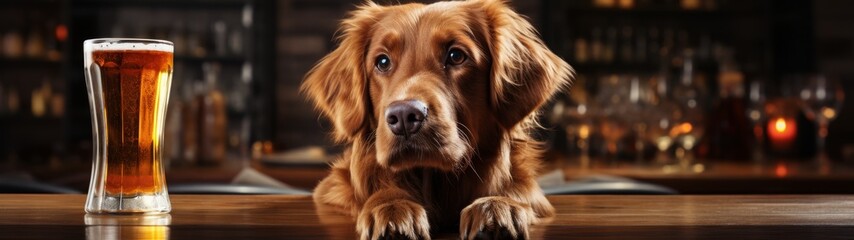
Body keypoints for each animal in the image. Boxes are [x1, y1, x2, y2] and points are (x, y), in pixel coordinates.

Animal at [302, 0, 576, 238]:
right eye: (382, 61)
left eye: (456, 56)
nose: (404, 116)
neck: (435, 182)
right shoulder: (331, 189)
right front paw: (391, 208)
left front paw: (498, 205)